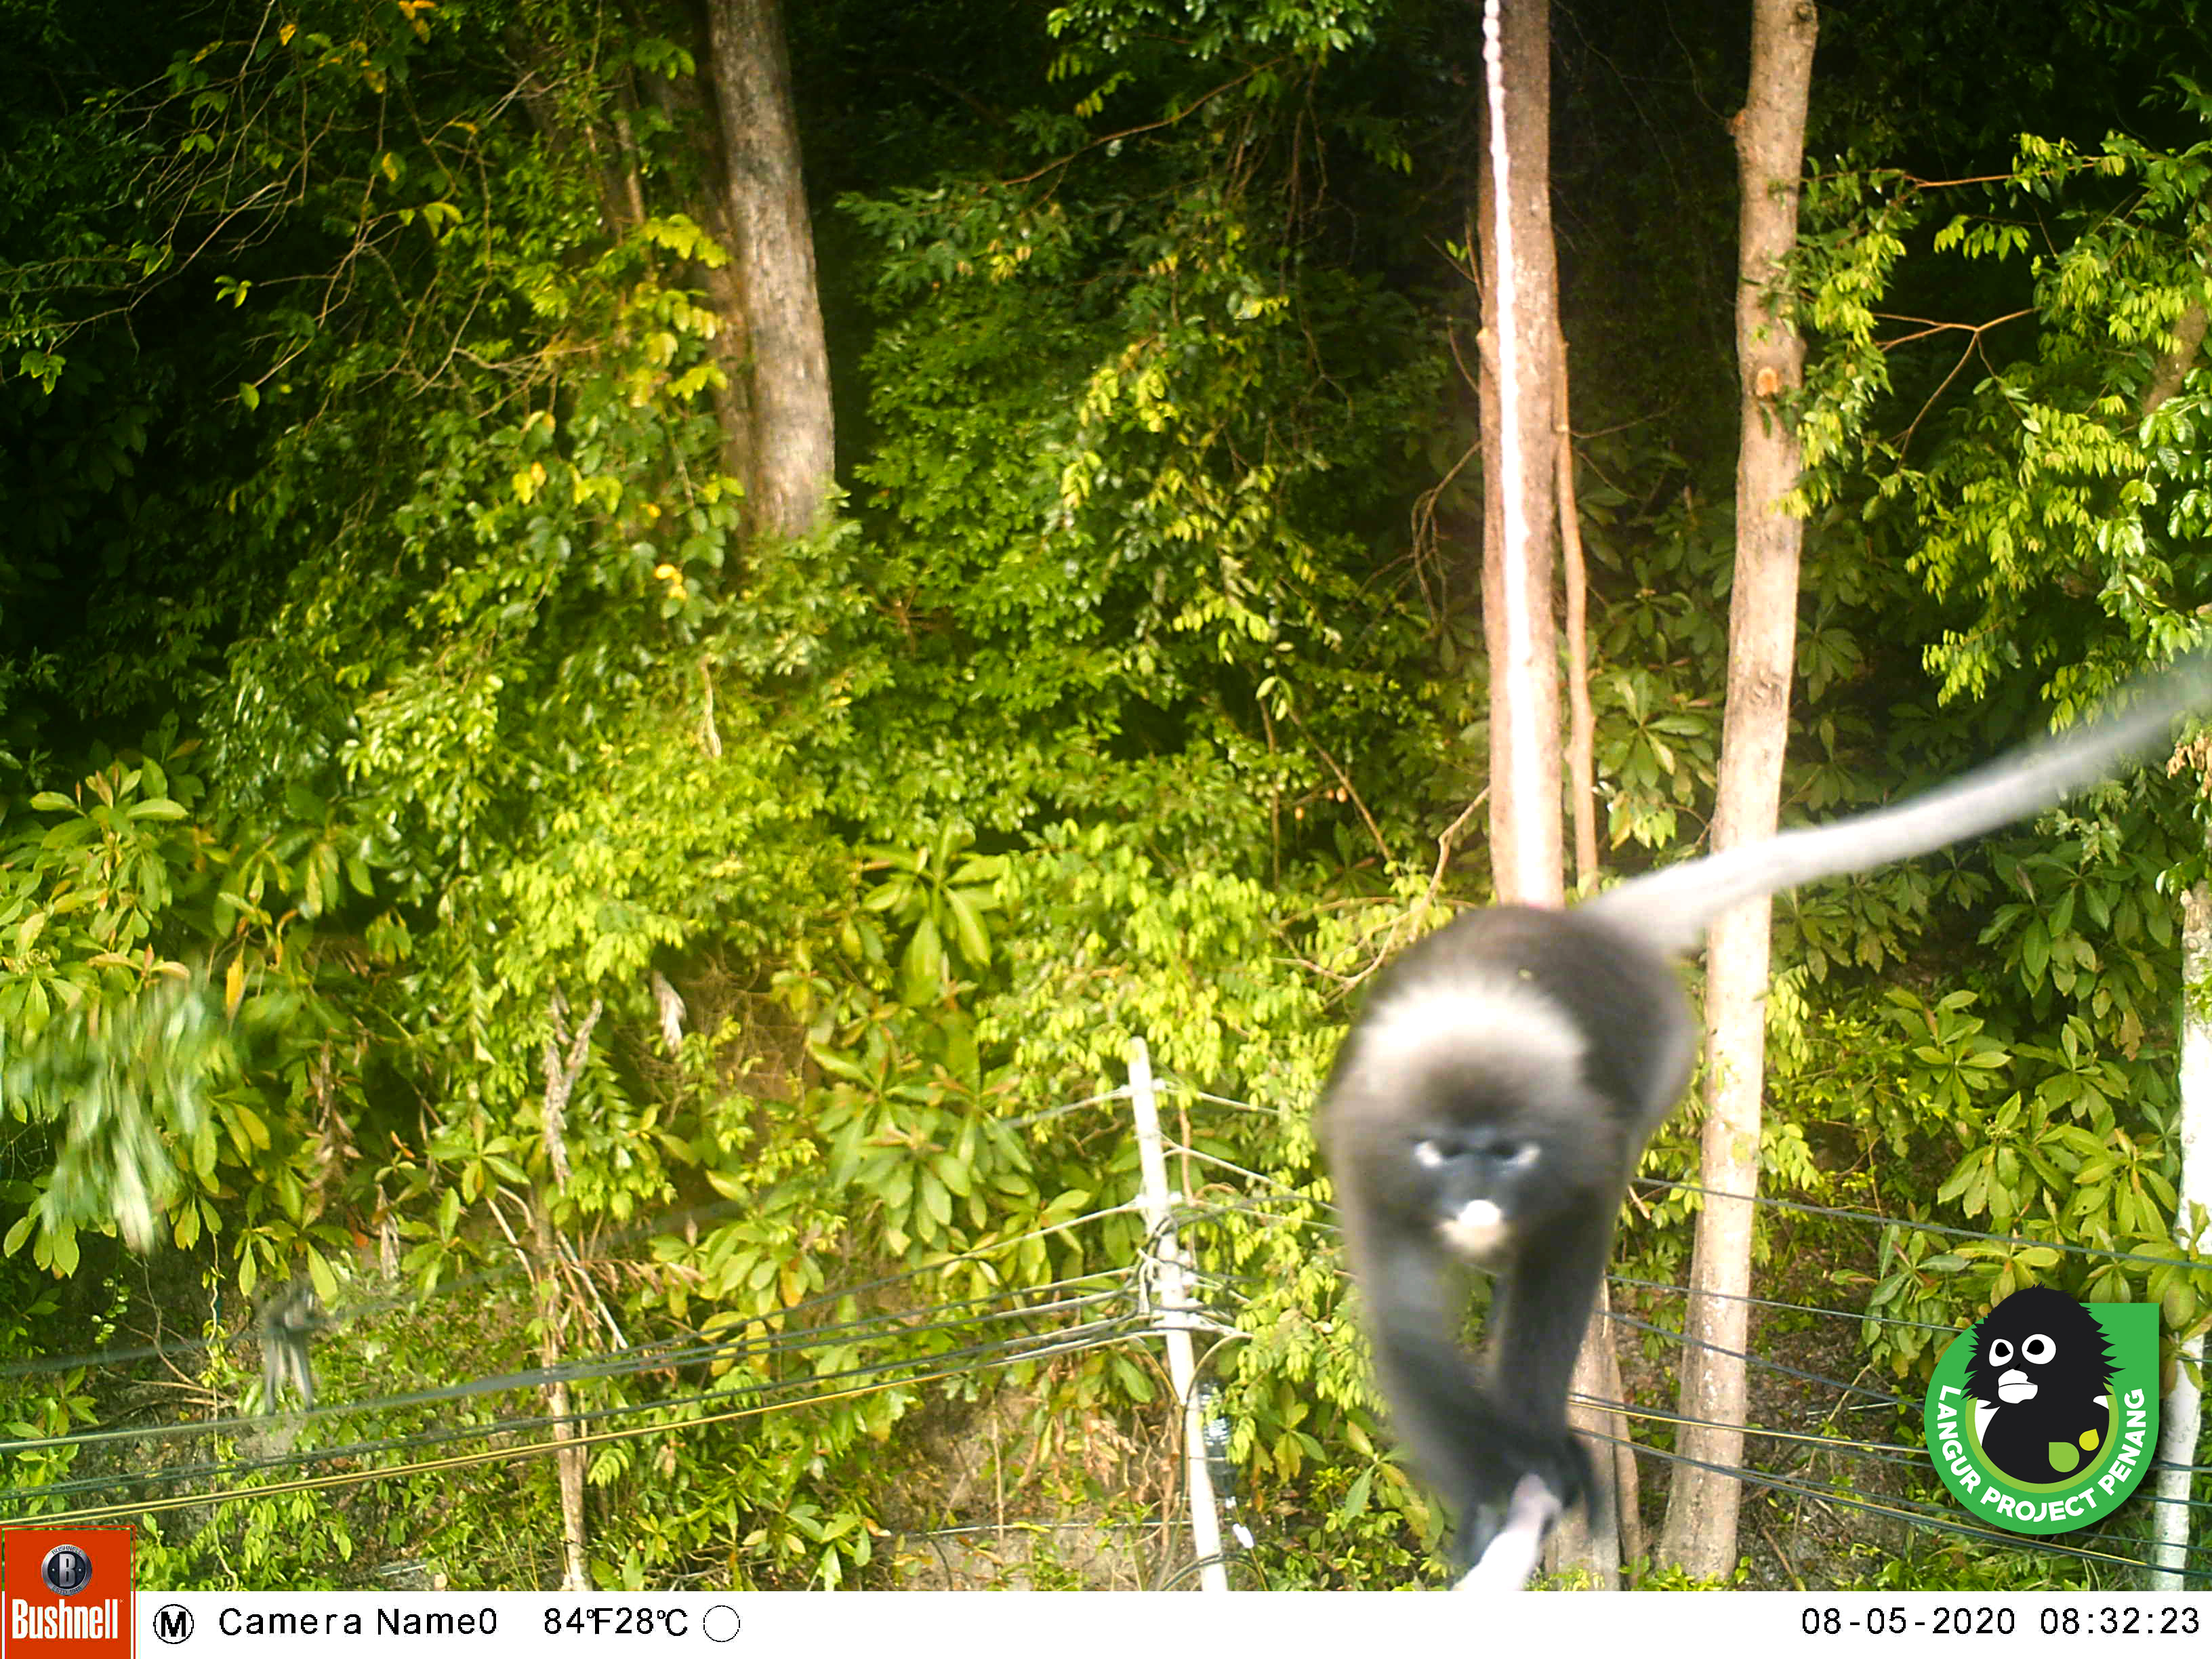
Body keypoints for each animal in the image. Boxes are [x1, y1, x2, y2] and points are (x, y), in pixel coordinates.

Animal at [258, 1279, 323, 1412]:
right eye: (309, 1295)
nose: (313, 1298)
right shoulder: (298, 1310)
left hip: (293, 1338)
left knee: (297, 1355)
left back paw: (308, 1403)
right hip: (273, 1332)